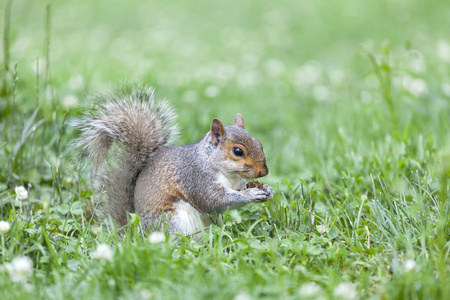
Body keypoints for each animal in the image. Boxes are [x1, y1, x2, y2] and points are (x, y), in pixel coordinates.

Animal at [73, 84, 274, 237]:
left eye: (259, 143)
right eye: (238, 151)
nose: (264, 172)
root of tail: (136, 235)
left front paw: (267, 189)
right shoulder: (196, 178)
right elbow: (214, 201)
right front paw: (251, 194)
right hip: (173, 222)